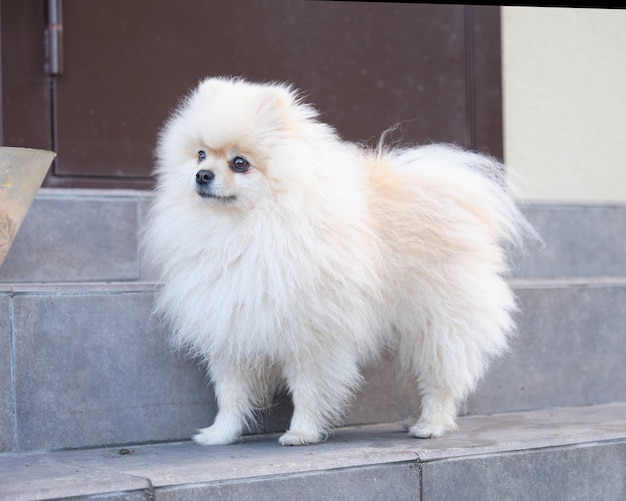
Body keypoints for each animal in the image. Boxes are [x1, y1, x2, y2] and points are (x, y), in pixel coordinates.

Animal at [145, 75, 532, 446]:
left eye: (239, 163)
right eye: (200, 155)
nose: (202, 175)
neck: (244, 228)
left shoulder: (311, 334)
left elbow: (307, 390)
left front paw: (301, 433)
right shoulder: (231, 328)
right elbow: (230, 394)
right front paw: (219, 434)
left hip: (437, 323)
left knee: (441, 379)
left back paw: (431, 424)